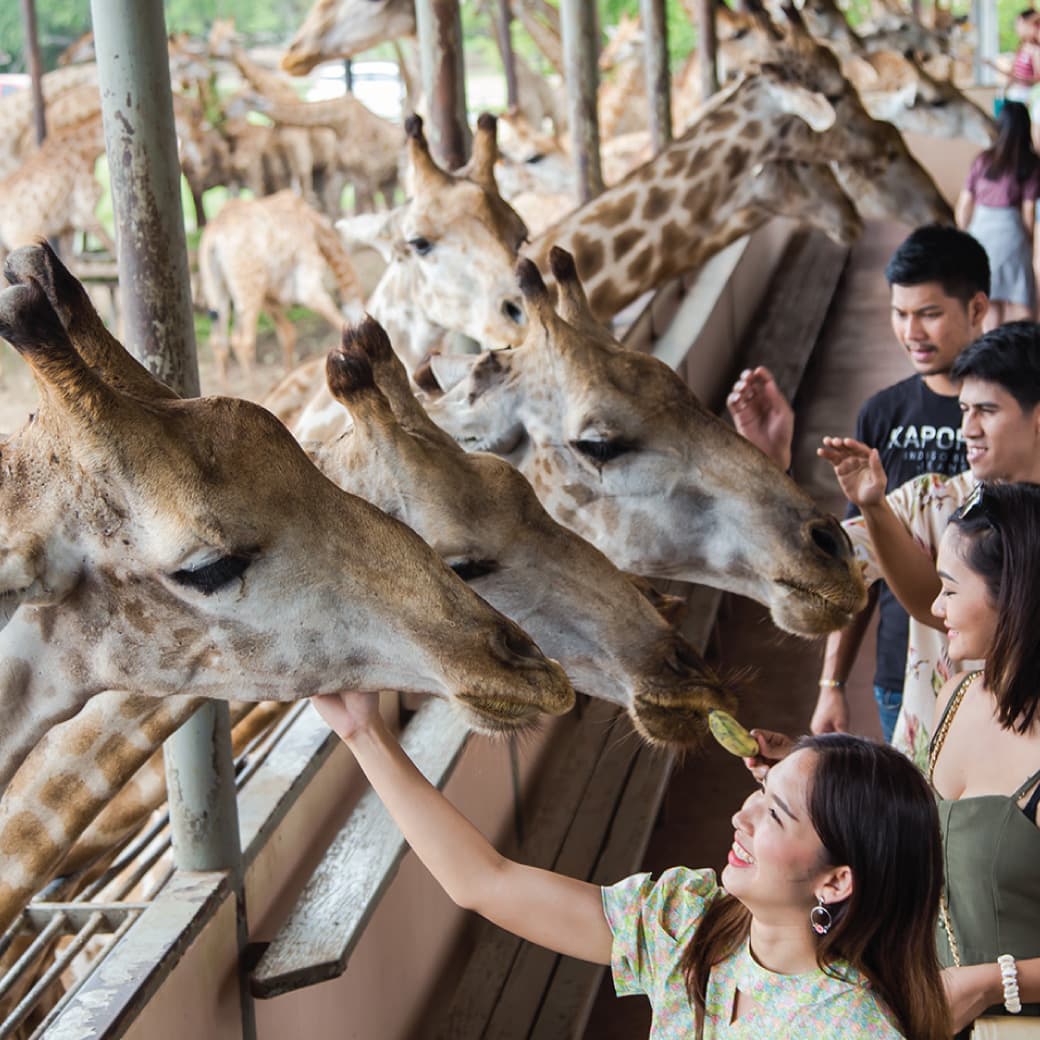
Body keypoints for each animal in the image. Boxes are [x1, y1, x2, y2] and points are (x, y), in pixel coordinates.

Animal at [197, 190, 366, 383]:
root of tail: (213, 239)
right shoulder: (306, 278)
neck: (315, 227)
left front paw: (287, 376)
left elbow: (287, 334)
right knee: (242, 341)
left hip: (216, 289)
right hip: (248, 286)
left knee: (219, 342)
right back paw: (254, 387)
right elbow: (335, 316)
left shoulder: (269, 297)